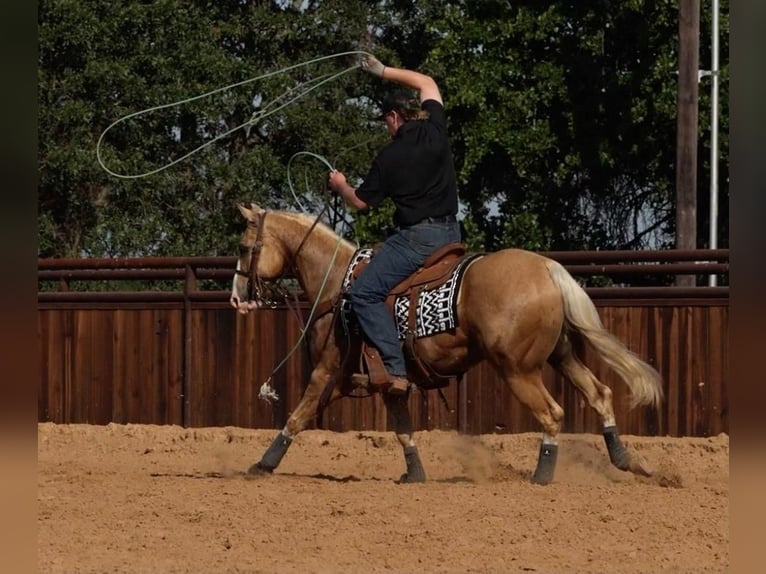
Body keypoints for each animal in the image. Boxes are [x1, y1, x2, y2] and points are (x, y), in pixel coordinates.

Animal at [230, 205, 664, 484]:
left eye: (244, 247)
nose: (236, 297)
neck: (337, 284)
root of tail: (546, 267)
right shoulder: (381, 381)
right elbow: (402, 427)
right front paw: (414, 473)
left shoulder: (328, 370)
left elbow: (298, 415)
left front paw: (263, 464)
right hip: (561, 355)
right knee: (600, 393)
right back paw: (626, 461)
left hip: (518, 370)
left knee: (552, 413)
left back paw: (542, 476)